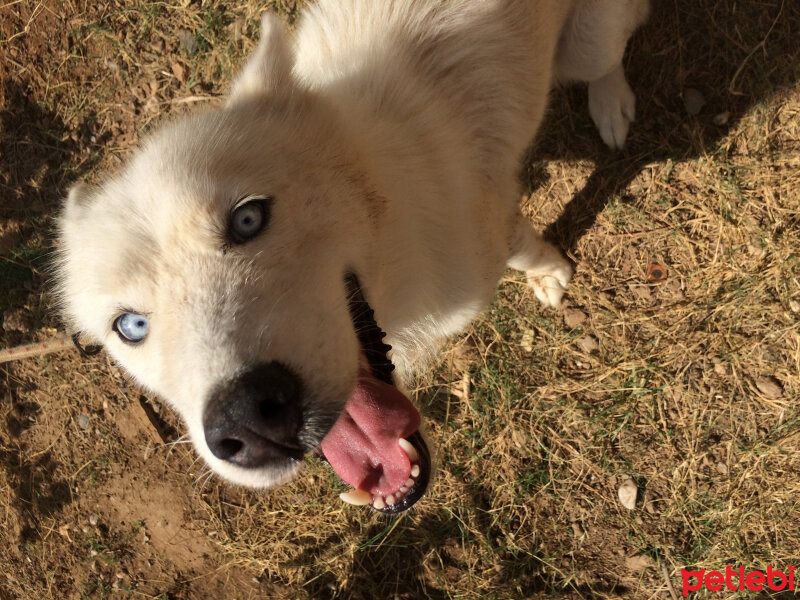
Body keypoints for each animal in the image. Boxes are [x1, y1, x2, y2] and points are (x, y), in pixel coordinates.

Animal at [59, 0, 648, 516]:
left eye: (248, 219)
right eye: (130, 326)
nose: (247, 421)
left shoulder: (496, 221)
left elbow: (527, 251)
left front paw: (551, 275)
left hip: (586, 44)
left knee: (612, 51)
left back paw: (612, 105)